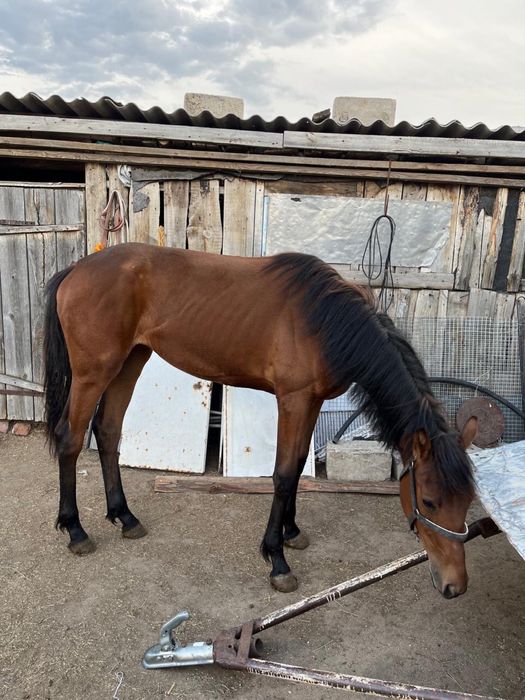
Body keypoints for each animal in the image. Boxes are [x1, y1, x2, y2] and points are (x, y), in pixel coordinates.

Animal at [43, 243, 477, 596]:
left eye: (468, 500)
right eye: (430, 501)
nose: (454, 585)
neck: (325, 319)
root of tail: (76, 270)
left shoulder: (311, 402)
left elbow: (299, 466)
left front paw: (292, 532)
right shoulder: (294, 400)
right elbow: (283, 474)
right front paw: (277, 559)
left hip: (130, 361)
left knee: (107, 432)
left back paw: (125, 516)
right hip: (93, 373)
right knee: (71, 437)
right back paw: (75, 530)